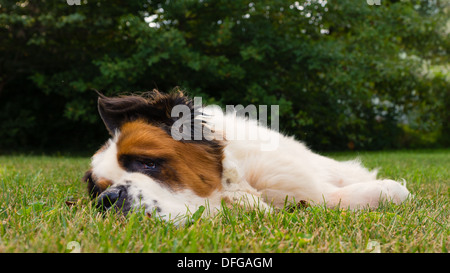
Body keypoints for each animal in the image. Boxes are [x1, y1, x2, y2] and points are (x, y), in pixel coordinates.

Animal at [82, 90, 410, 221]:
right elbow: (332, 197)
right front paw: (388, 188)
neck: (242, 177)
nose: (107, 200)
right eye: (98, 190)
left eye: (148, 163)